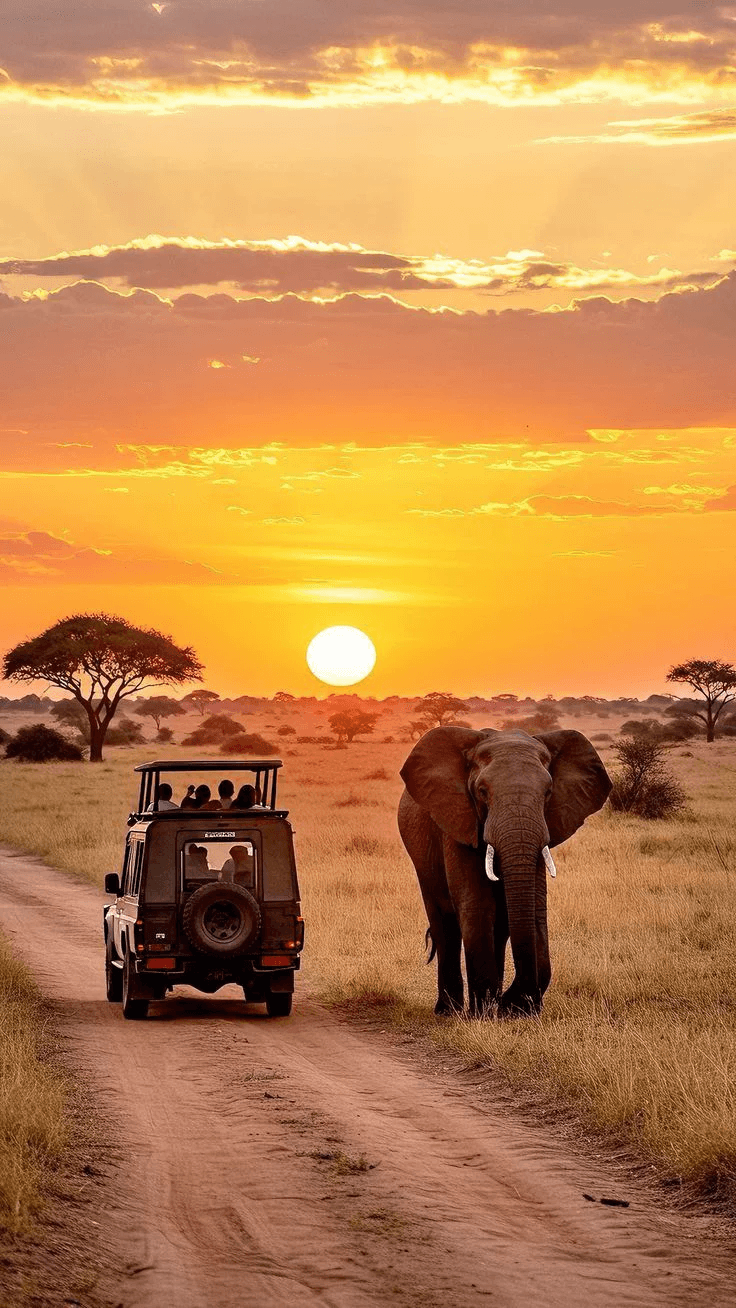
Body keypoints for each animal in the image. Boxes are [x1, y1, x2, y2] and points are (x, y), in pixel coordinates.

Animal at [397, 727, 611, 1017]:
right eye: (482, 791)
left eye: (548, 792)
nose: (514, 1001)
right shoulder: (457, 823)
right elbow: (477, 905)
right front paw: (484, 1014)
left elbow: (535, 907)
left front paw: (512, 1009)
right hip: (421, 859)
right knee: (445, 925)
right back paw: (450, 1011)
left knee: (499, 927)